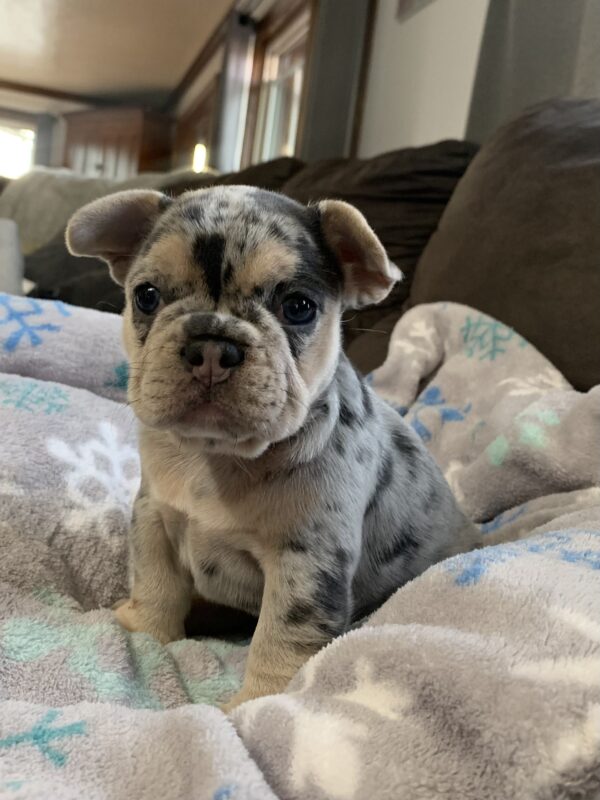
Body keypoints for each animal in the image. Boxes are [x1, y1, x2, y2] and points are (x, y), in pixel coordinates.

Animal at [65, 189, 480, 712]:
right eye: (146, 296)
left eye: (298, 307)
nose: (212, 345)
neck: (217, 456)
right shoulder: (154, 516)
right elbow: (155, 580)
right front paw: (144, 632)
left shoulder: (305, 560)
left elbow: (282, 634)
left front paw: (259, 702)